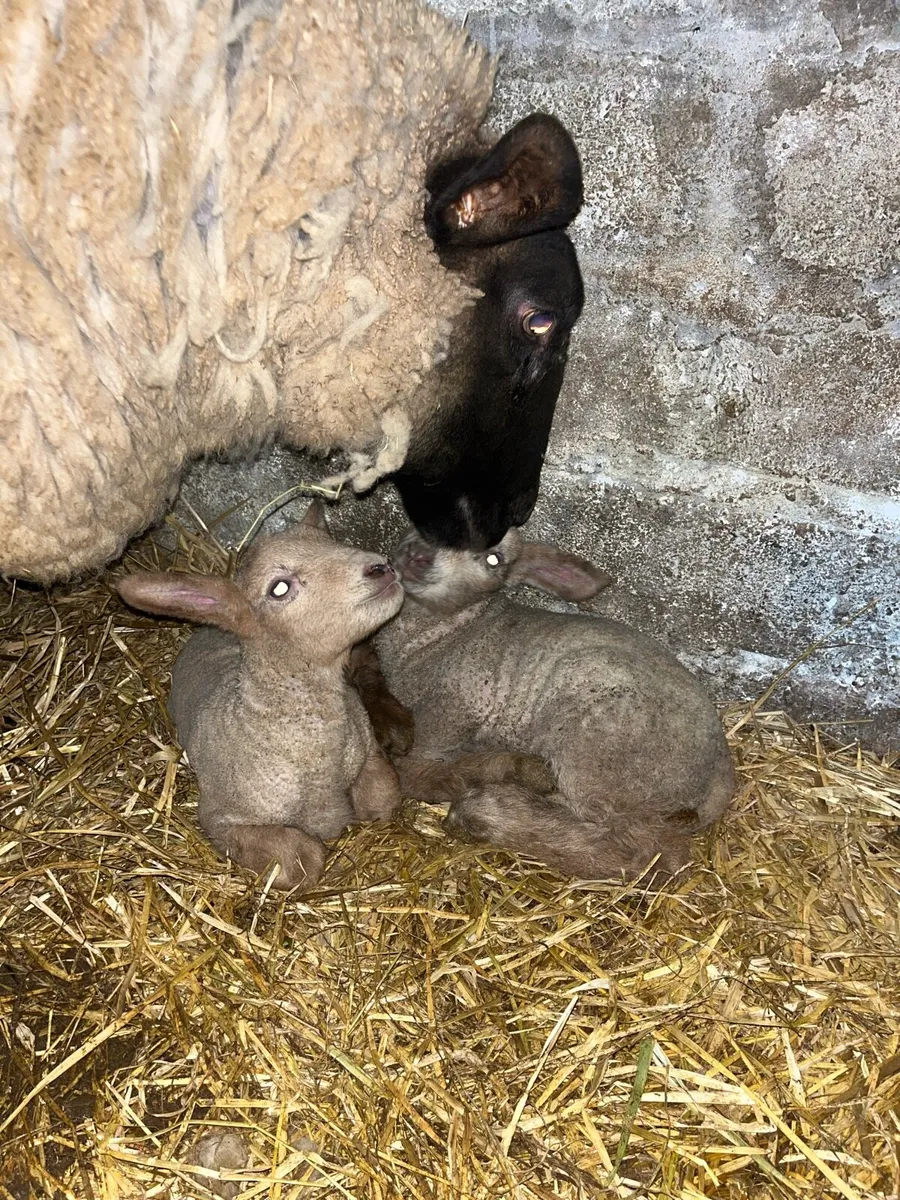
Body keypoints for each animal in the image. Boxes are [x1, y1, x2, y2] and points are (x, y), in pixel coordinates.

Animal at [116, 502, 404, 890]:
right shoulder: (222, 819)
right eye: (279, 588)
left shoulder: (367, 747)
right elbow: (302, 860)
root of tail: (209, 630)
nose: (380, 567)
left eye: (331, 541)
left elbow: (382, 799)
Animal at [372, 529, 736, 879]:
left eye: (494, 559)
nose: (418, 556)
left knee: (651, 850)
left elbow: (411, 774)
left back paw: (495, 808)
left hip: (598, 757)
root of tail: (721, 766)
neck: (445, 631)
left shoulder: (451, 712)